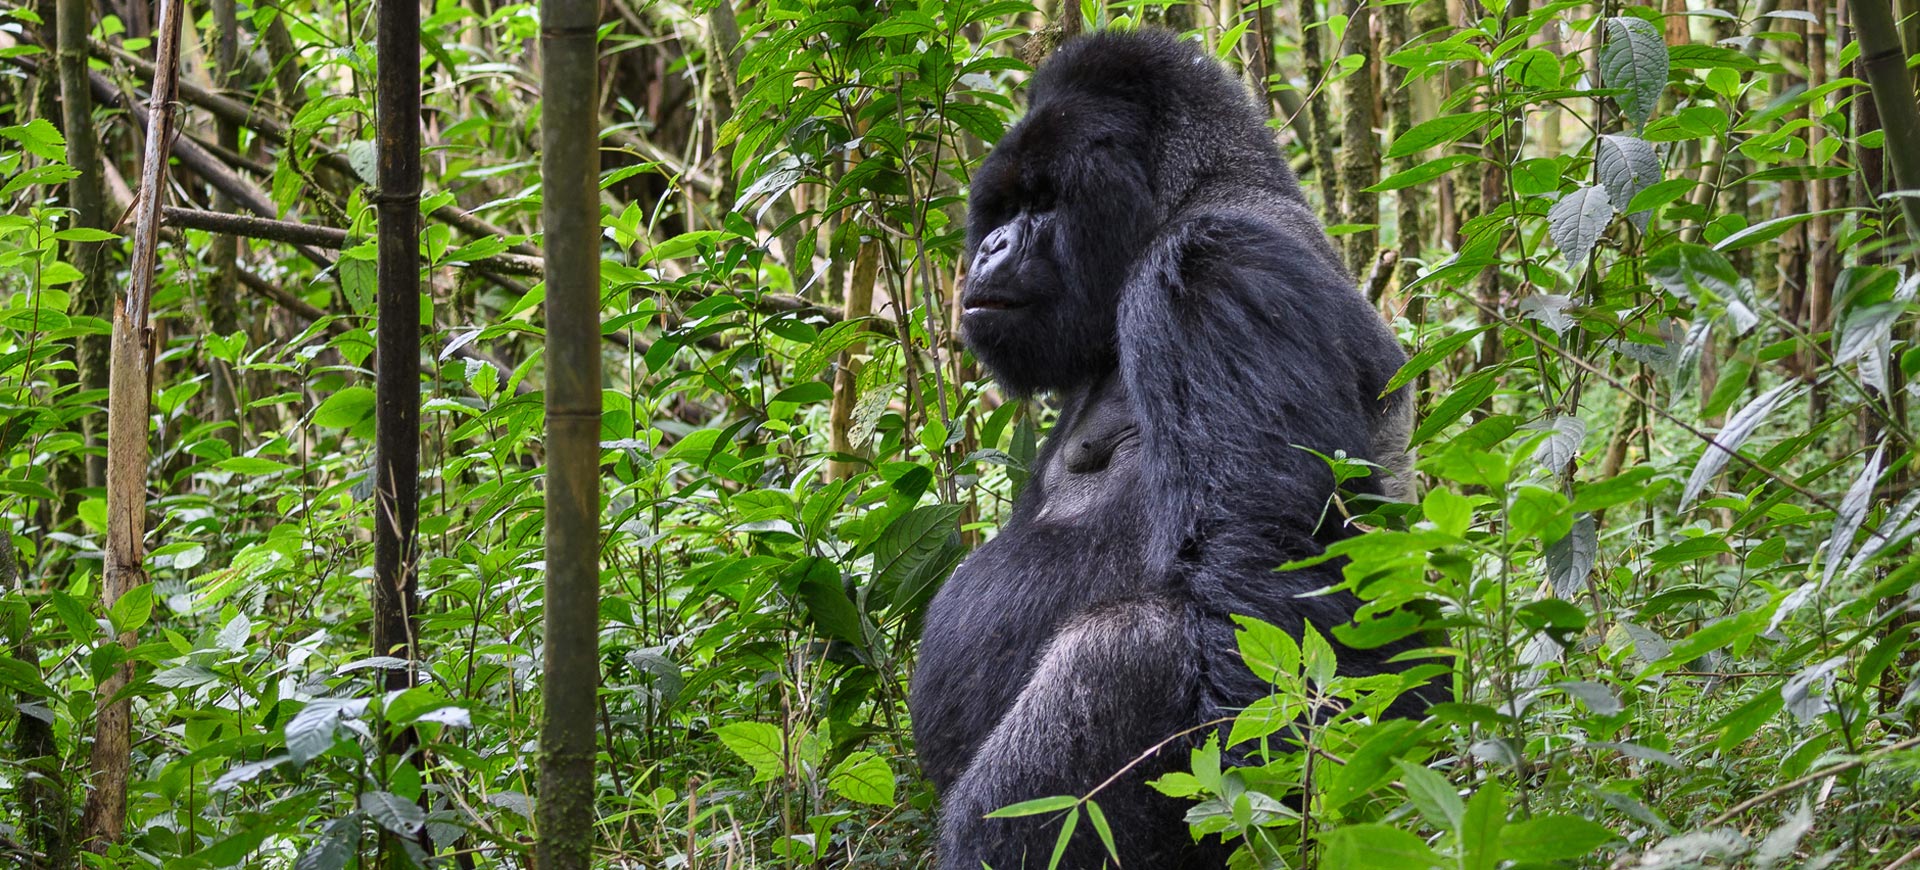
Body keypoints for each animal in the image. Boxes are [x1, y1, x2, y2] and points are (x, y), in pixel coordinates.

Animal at [910, 28, 1443, 868]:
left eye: (1042, 203)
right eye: (1003, 208)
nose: (989, 247)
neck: (1195, 195)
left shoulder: (1212, 268)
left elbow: (1263, 581)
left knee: (1131, 648)